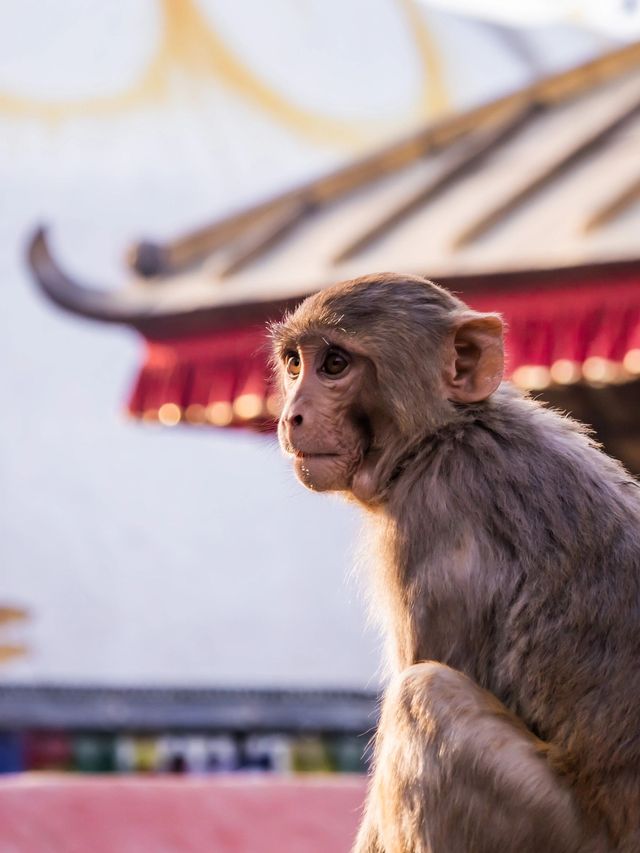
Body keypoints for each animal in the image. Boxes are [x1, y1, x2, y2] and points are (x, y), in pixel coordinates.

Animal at [270, 274, 640, 852]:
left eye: (334, 364)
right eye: (293, 364)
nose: (292, 416)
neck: (448, 433)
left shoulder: (434, 511)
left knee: (425, 695)